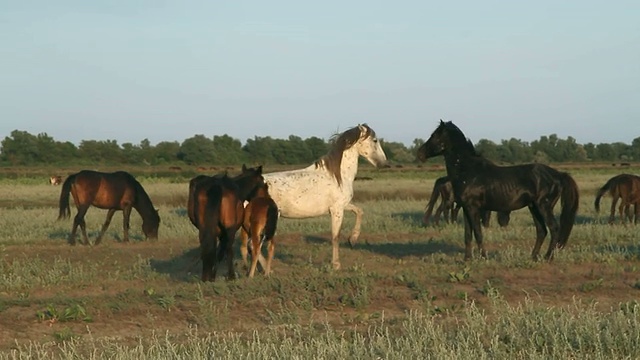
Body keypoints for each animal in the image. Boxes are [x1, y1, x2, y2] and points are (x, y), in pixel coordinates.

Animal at [241, 124, 388, 270]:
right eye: (375, 140)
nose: (384, 164)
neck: (337, 176)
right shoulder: (337, 210)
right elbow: (335, 236)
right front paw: (336, 264)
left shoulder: (342, 206)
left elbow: (359, 211)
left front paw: (352, 239)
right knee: (254, 244)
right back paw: (267, 268)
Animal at [416, 121, 580, 262]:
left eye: (435, 135)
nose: (420, 154)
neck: (468, 170)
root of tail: (559, 174)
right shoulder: (466, 208)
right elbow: (468, 234)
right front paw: (467, 259)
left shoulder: (473, 208)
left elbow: (478, 232)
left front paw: (483, 257)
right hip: (534, 207)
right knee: (541, 231)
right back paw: (533, 257)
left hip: (544, 207)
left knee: (554, 228)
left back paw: (548, 257)